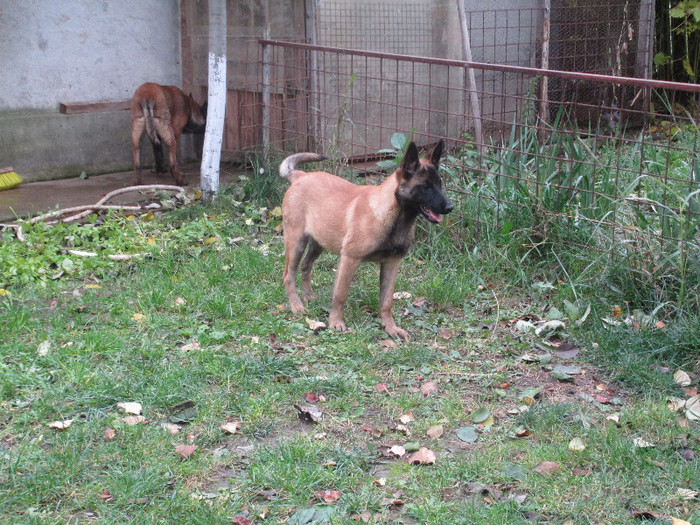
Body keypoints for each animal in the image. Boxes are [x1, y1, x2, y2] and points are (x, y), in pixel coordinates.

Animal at [278, 139, 454, 338]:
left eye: (439, 184)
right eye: (426, 187)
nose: (450, 207)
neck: (392, 215)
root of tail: (300, 176)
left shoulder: (392, 263)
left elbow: (386, 301)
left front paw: (390, 327)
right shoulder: (349, 259)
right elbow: (340, 294)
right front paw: (336, 322)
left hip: (319, 242)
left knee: (306, 265)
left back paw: (309, 297)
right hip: (296, 242)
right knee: (288, 275)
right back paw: (297, 306)